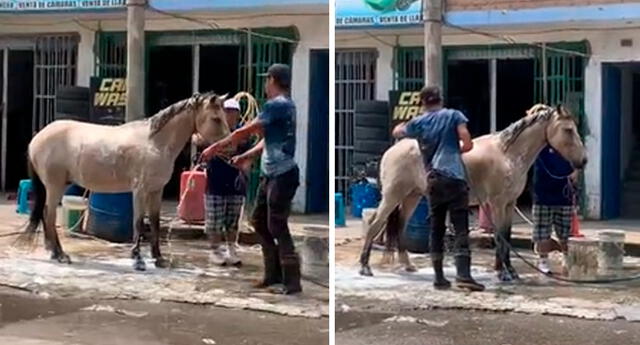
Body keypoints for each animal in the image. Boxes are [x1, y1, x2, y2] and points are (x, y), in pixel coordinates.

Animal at [21, 92, 230, 270]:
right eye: (216, 118)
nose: (230, 146)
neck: (155, 143)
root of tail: (37, 138)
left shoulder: (156, 191)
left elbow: (155, 223)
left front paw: (159, 259)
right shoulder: (140, 190)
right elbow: (138, 223)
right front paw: (138, 260)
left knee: (45, 214)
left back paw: (53, 252)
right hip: (54, 186)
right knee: (49, 216)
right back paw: (60, 255)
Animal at [358, 104, 588, 280]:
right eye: (568, 130)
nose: (583, 161)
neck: (508, 154)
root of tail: (391, 150)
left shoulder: (509, 204)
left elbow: (506, 235)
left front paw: (510, 271)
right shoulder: (497, 204)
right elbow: (500, 237)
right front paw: (503, 273)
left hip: (411, 197)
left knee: (400, 226)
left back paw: (407, 265)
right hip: (392, 196)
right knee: (374, 224)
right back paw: (365, 267)